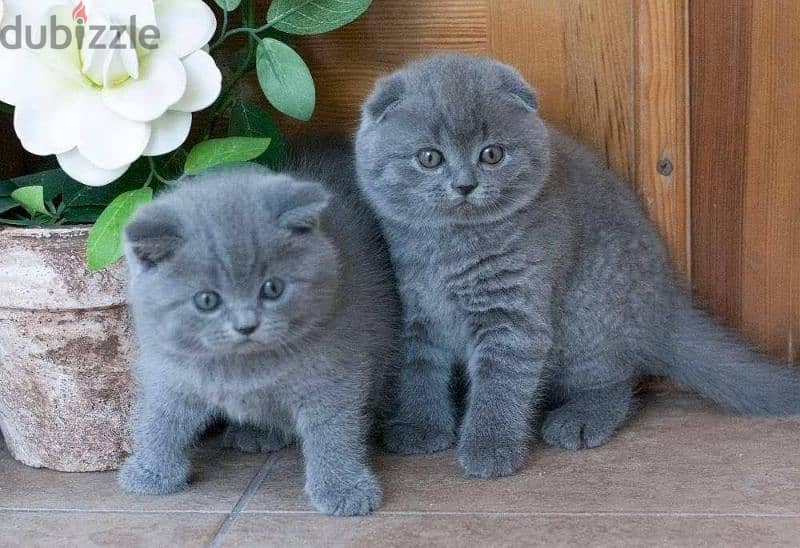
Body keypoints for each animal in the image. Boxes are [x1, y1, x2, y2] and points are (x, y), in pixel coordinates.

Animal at [119, 136, 400, 512]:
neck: (243, 367)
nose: (246, 325)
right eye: (206, 300)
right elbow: (160, 415)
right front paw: (150, 470)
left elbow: (332, 429)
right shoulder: (168, 364)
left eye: (273, 288)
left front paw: (343, 488)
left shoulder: (338, 366)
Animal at [356, 52, 800, 480]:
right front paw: (420, 428)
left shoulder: (514, 314)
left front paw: (489, 448)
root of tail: (667, 308)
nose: (465, 184)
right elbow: (419, 372)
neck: (449, 247)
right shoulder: (418, 310)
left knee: (616, 381)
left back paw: (581, 420)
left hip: (587, 318)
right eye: (429, 158)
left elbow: (501, 385)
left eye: (492, 154)